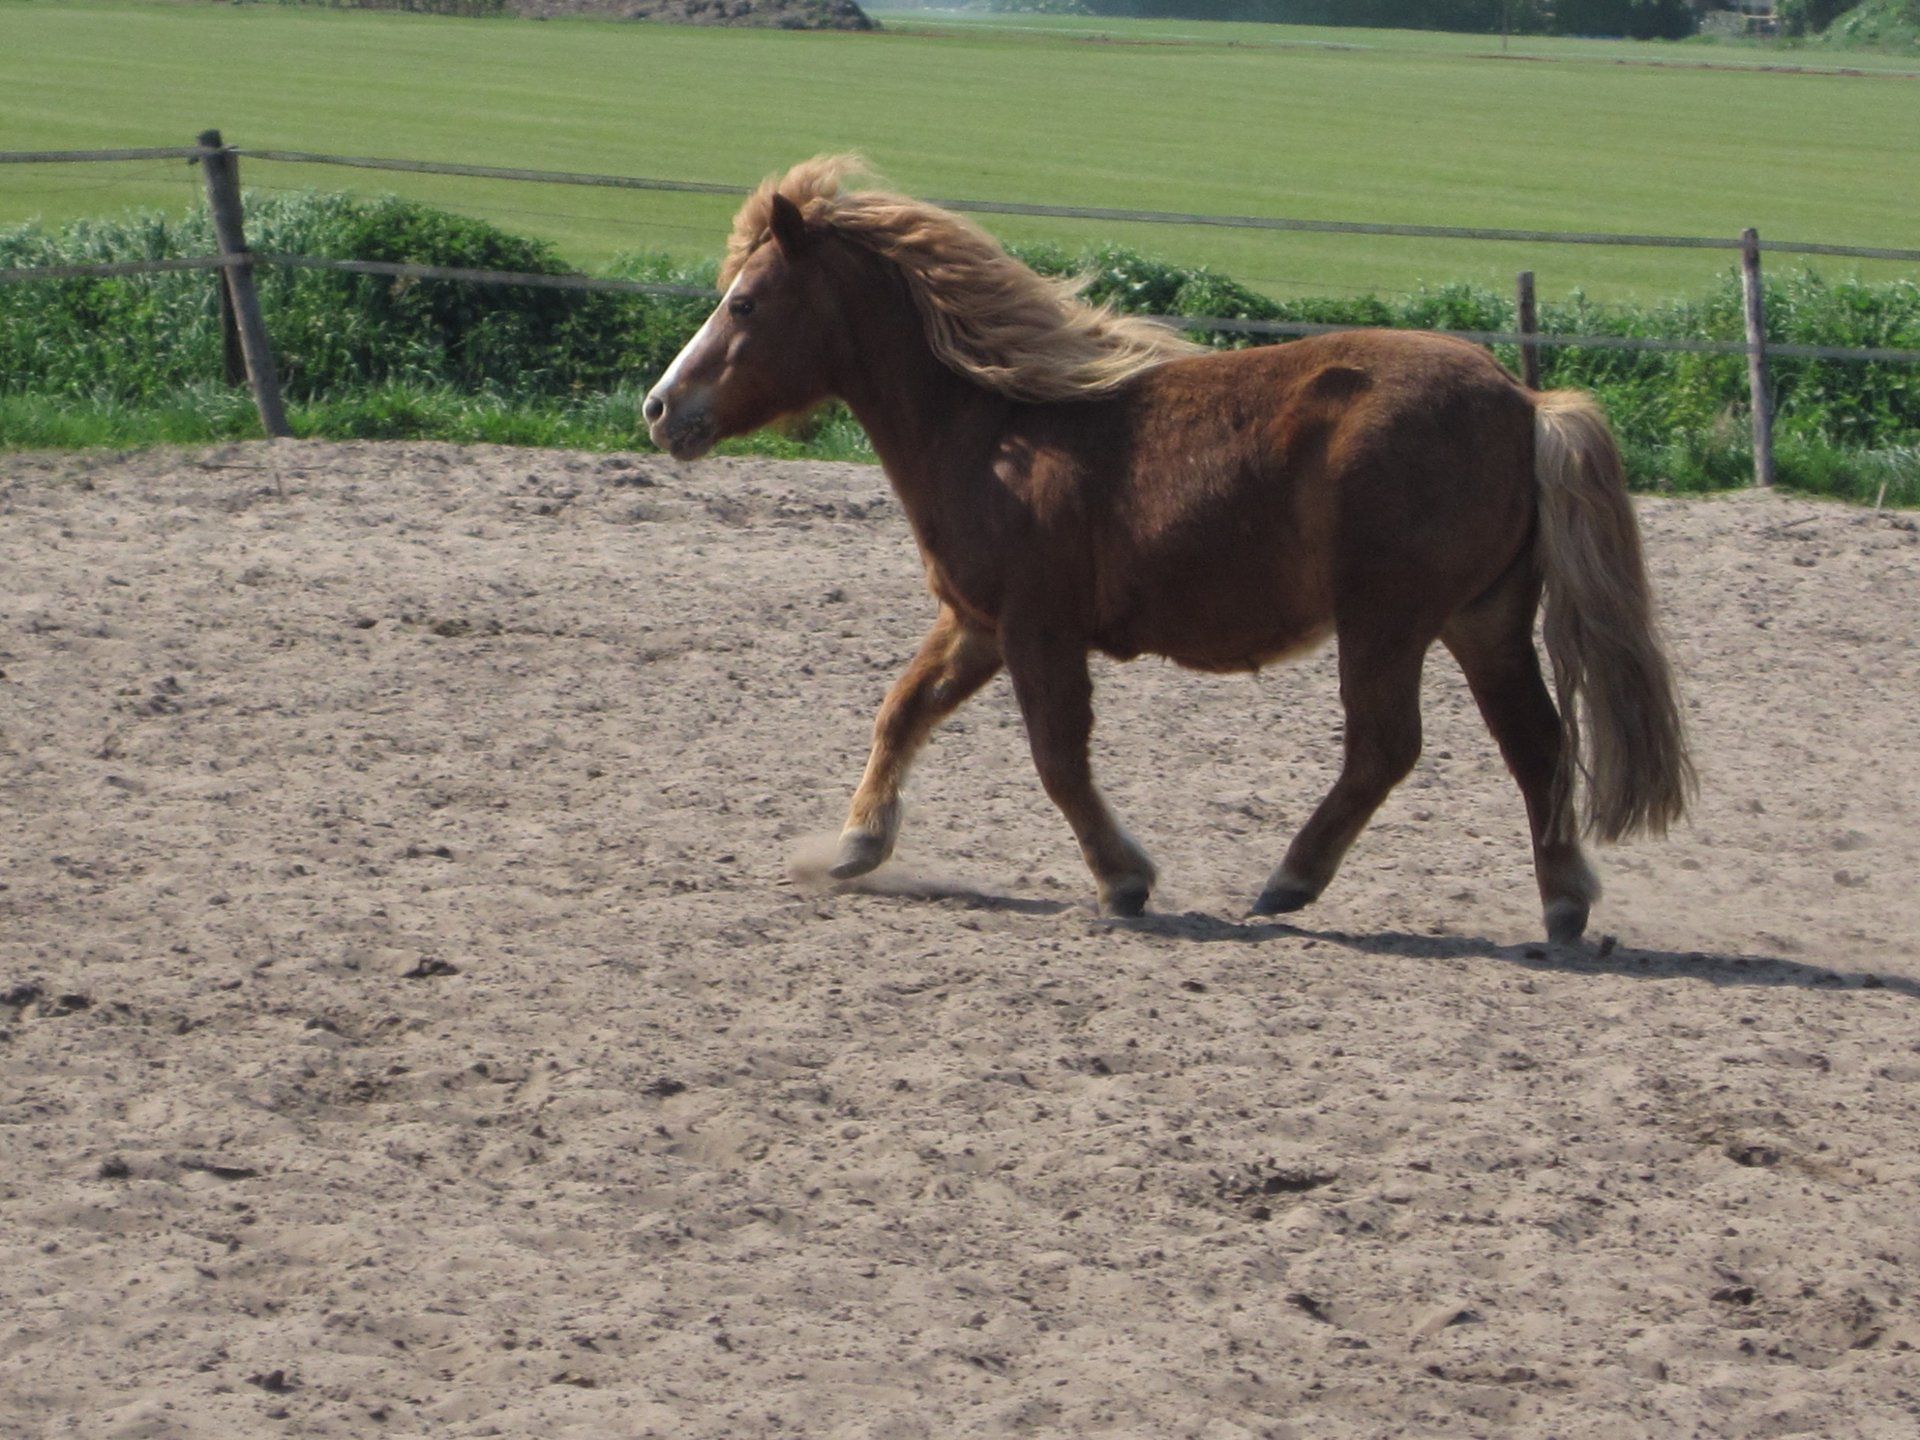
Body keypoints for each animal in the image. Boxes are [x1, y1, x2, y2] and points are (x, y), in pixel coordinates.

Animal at [643, 157, 1694, 942]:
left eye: (744, 303)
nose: (660, 408)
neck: (998, 427)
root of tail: (1525, 401)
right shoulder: (977, 623)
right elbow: (903, 711)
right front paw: (857, 844)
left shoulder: (1037, 629)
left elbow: (1057, 757)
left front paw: (1125, 879)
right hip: (1483, 621)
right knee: (1536, 745)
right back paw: (1562, 903)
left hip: (1388, 621)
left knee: (1386, 746)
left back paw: (1288, 882)